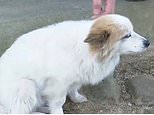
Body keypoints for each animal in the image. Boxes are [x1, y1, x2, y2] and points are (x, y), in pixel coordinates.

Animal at [0, 14, 150, 113]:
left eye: (133, 31)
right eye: (127, 35)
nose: (148, 42)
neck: (89, 48)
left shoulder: (76, 76)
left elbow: (73, 89)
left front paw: (76, 98)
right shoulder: (58, 84)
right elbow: (58, 103)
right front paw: (57, 111)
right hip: (26, 86)